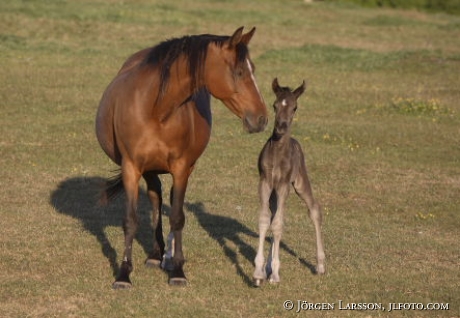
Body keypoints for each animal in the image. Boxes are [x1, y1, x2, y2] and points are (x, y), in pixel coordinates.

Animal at [253, 79, 326, 286]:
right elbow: (265, 219)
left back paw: (320, 265)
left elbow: (278, 224)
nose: (281, 127)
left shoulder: (284, 185)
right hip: (274, 193)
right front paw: (259, 272)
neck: (278, 152)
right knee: (273, 214)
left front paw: (275, 274)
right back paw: (268, 267)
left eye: (295, 107)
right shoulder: (265, 183)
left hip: (300, 181)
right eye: (275, 105)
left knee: (314, 209)